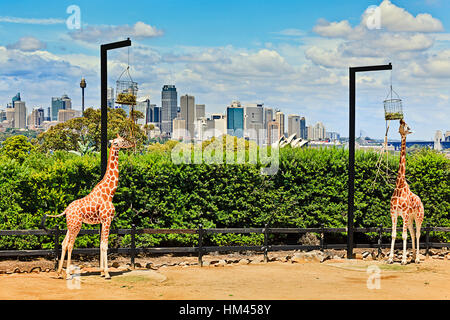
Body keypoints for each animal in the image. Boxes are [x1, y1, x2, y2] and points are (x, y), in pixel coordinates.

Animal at [45, 134, 134, 278]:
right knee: (70, 244)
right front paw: (107, 273)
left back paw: (59, 272)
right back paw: (68, 273)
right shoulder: (107, 219)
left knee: (64, 243)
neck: (110, 193)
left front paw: (102, 272)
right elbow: (104, 245)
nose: (132, 143)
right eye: (122, 140)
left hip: (71, 225)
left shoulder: (103, 221)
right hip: (77, 225)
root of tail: (66, 210)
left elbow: (101, 244)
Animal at [386, 120, 426, 264]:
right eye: (402, 124)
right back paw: (413, 257)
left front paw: (403, 259)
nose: (401, 120)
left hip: (419, 216)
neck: (399, 186)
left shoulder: (404, 213)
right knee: (413, 234)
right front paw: (391, 258)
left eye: (407, 127)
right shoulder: (394, 213)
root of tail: (421, 201)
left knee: (418, 234)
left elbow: (403, 236)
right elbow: (393, 235)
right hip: (410, 218)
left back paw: (418, 258)